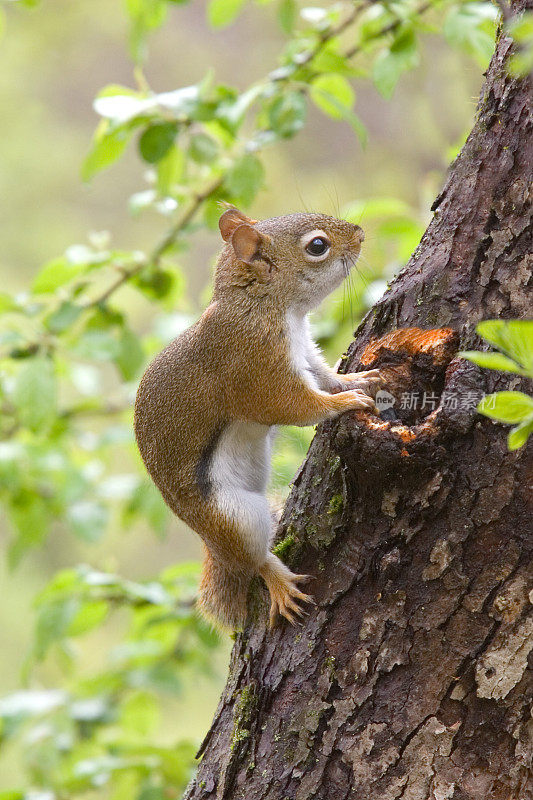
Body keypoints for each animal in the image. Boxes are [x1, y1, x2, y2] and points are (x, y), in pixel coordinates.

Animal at [135, 208, 380, 632]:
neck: (264, 305)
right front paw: (345, 402)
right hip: (235, 517)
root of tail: (214, 546)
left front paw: (354, 380)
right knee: (255, 559)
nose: (360, 235)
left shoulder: (303, 351)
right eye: (318, 245)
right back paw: (278, 581)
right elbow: (292, 405)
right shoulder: (255, 365)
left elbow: (323, 376)